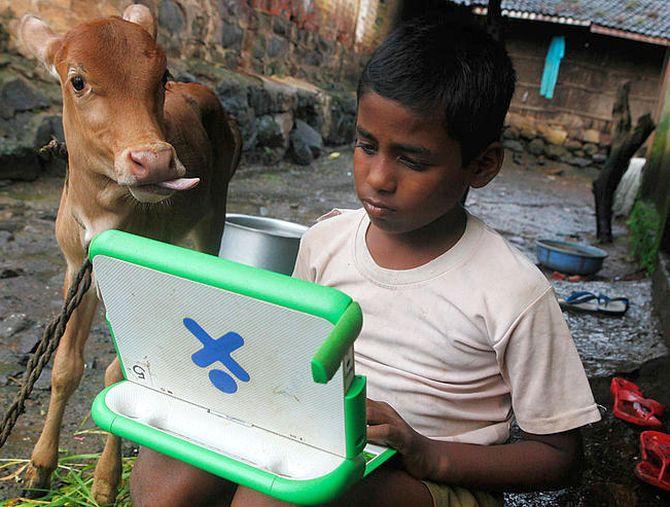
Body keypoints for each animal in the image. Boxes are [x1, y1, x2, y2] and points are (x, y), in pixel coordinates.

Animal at [18, 3, 243, 504]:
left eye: (161, 76)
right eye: (77, 80)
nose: (155, 160)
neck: (101, 214)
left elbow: (118, 373)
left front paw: (105, 481)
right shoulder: (75, 269)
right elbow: (65, 368)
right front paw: (39, 468)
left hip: (213, 215)